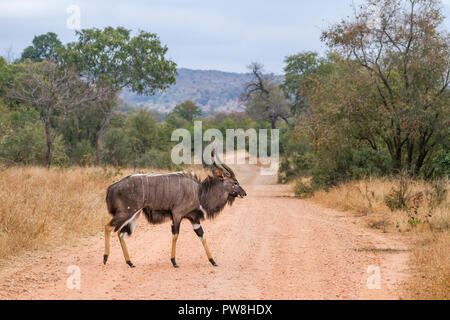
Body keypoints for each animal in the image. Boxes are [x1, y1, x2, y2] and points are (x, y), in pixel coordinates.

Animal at [102, 150, 246, 268]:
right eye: (235, 183)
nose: (244, 193)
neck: (200, 193)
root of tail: (110, 188)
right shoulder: (177, 215)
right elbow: (175, 235)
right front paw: (174, 262)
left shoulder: (194, 219)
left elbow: (202, 235)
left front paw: (213, 261)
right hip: (126, 211)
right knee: (108, 227)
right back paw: (105, 258)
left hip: (135, 215)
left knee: (121, 233)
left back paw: (130, 262)